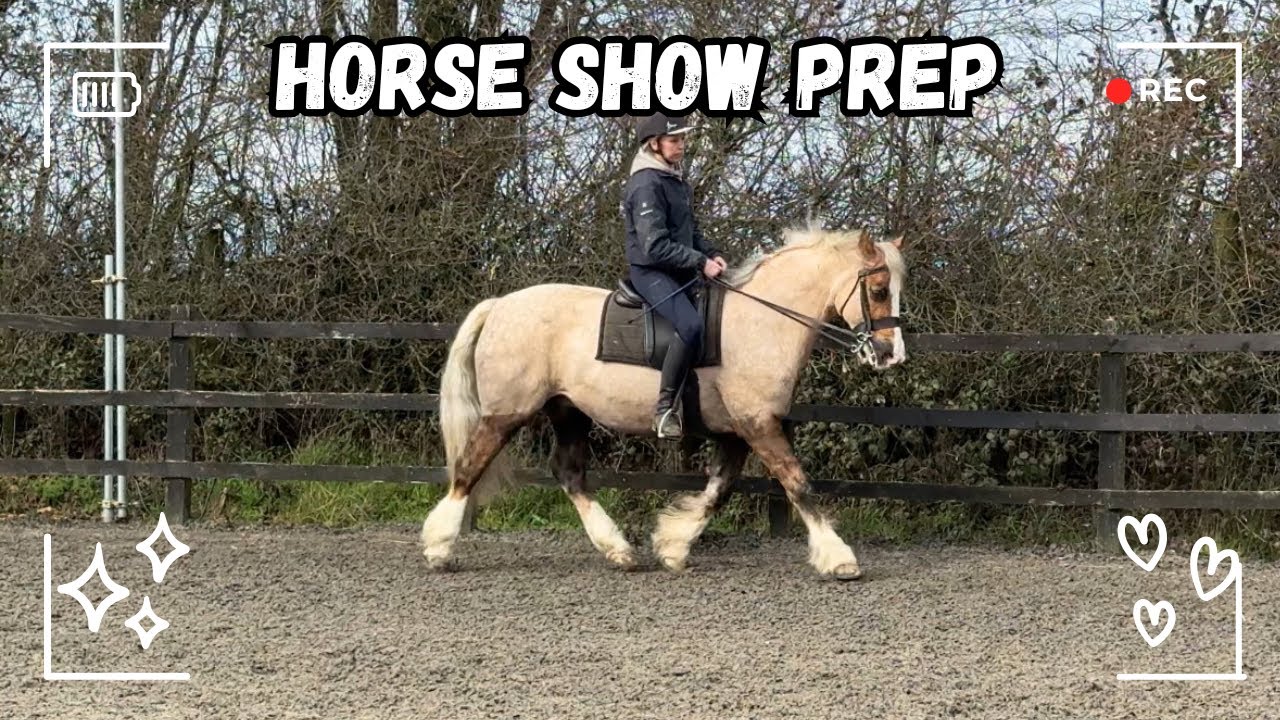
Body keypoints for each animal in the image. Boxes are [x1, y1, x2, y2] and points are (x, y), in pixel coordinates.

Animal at [419, 226, 907, 580]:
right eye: (879, 290)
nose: (891, 354)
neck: (763, 321)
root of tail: (500, 305)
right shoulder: (758, 424)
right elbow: (797, 482)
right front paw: (839, 558)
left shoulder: (737, 431)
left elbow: (718, 490)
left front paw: (673, 546)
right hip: (506, 413)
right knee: (469, 466)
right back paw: (439, 547)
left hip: (567, 410)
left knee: (569, 473)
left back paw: (618, 550)